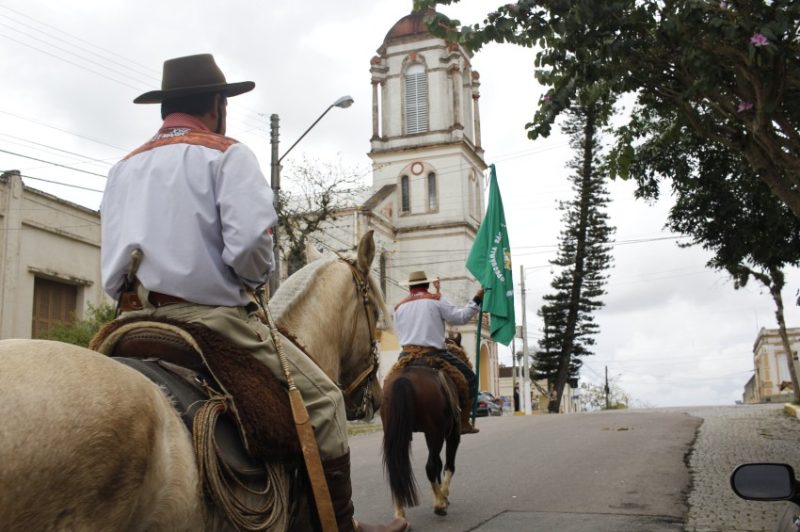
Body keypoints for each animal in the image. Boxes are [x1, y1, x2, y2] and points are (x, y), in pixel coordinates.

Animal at [382, 362, 462, 520]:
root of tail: (403, 378)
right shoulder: (452, 434)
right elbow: (448, 465)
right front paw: (443, 496)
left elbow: (439, 463)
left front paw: (439, 495)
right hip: (436, 433)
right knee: (430, 466)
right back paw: (439, 506)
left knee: (396, 470)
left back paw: (400, 513)